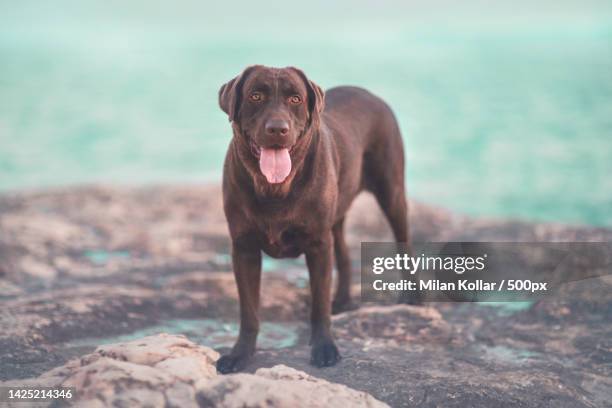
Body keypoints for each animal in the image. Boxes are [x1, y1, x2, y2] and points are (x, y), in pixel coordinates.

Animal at [218, 64, 414, 372]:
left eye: (295, 99)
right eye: (256, 96)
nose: (277, 129)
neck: (275, 189)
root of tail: (369, 93)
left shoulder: (318, 245)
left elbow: (319, 305)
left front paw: (324, 348)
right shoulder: (243, 248)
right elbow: (249, 311)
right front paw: (240, 354)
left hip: (391, 192)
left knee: (404, 241)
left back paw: (411, 298)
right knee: (344, 254)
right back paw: (343, 300)